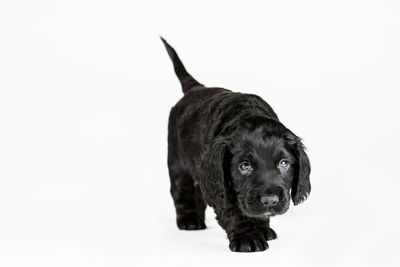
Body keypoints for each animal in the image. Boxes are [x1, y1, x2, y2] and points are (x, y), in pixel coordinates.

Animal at [161, 38, 310, 253]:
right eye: (244, 166)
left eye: (284, 163)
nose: (270, 201)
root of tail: (195, 88)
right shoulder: (220, 181)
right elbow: (233, 210)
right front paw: (248, 237)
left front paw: (262, 229)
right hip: (176, 160)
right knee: (182, 191)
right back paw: (189, 221)